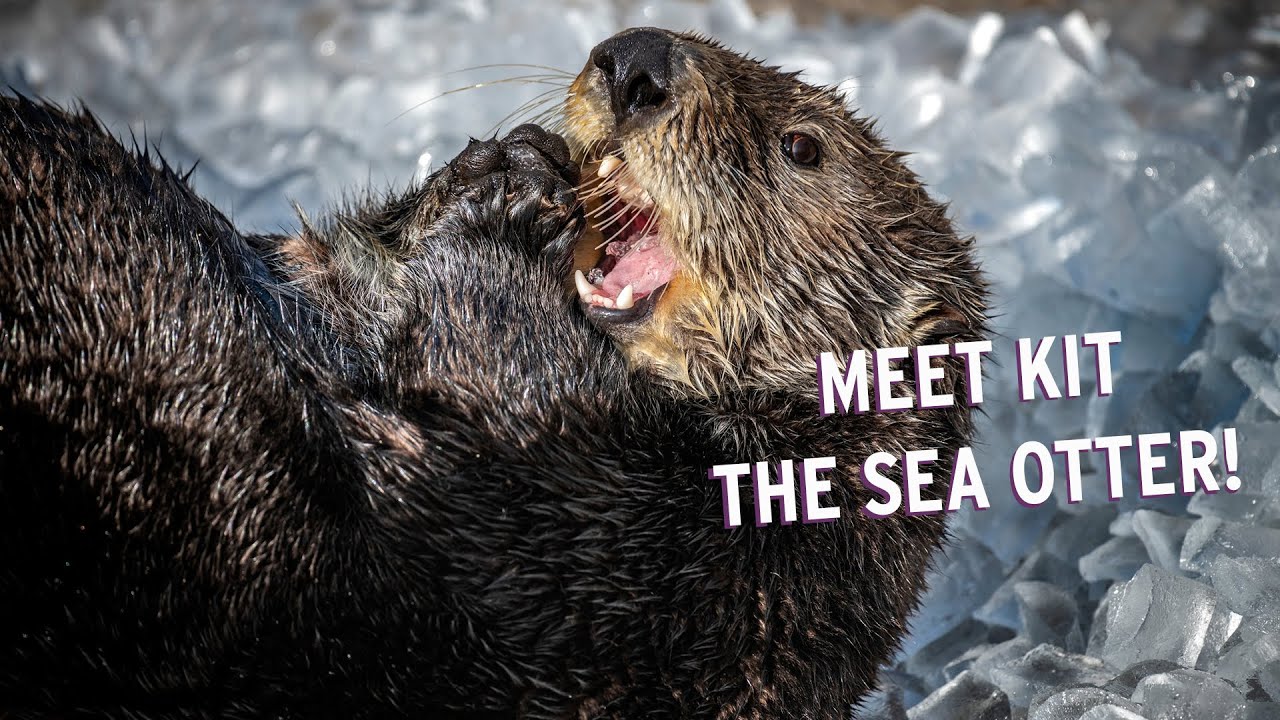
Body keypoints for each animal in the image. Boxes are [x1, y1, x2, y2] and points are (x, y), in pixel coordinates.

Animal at [0, 27, 986, 720]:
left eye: (802, 149)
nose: (636, 63)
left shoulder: (644, 579)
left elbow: (488, 357)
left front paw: (509, 198)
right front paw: (501, 161)